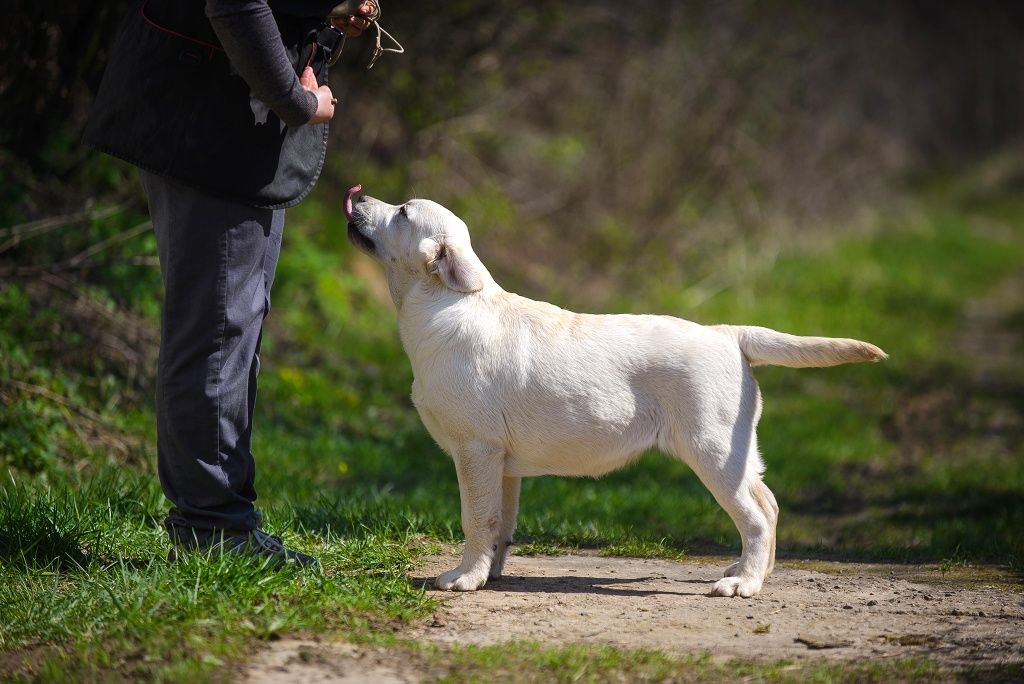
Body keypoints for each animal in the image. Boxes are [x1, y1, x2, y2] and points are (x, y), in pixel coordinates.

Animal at [346, 187, 888, 597]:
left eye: (402, 212)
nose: (360, 195)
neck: (443, 302)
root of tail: (727, 333)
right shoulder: (503, 462)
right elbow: (501, 522)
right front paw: (491, 574)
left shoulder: (475, 450)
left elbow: (476, 518)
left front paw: (464, 578)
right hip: (737, 451)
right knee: (769, 503)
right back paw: (748, 571)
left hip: (711, 451)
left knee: (755, 516)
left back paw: (744, 585)